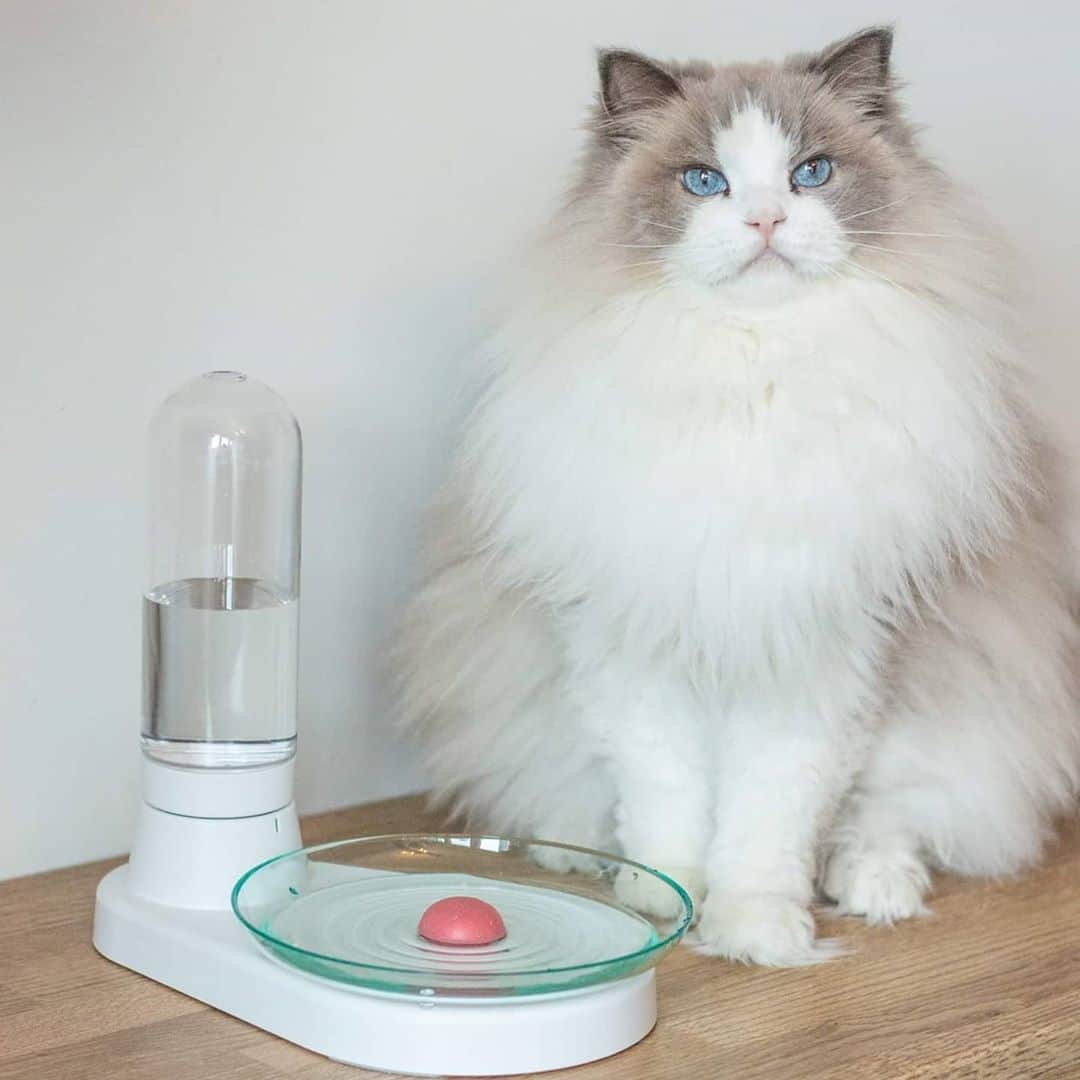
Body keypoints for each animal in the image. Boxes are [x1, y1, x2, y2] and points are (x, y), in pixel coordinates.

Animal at [390, 29, 1080, 967]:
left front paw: (755, 931)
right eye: (704, 182)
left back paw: (874, 888)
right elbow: (667, 802)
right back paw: (580, 856)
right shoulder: (633, 651)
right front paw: (662, 898)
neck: (751, 374)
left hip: (958, 721)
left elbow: (768, 821)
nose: (765, 221)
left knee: (893, 819)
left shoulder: (820, 662)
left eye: (811, 174)